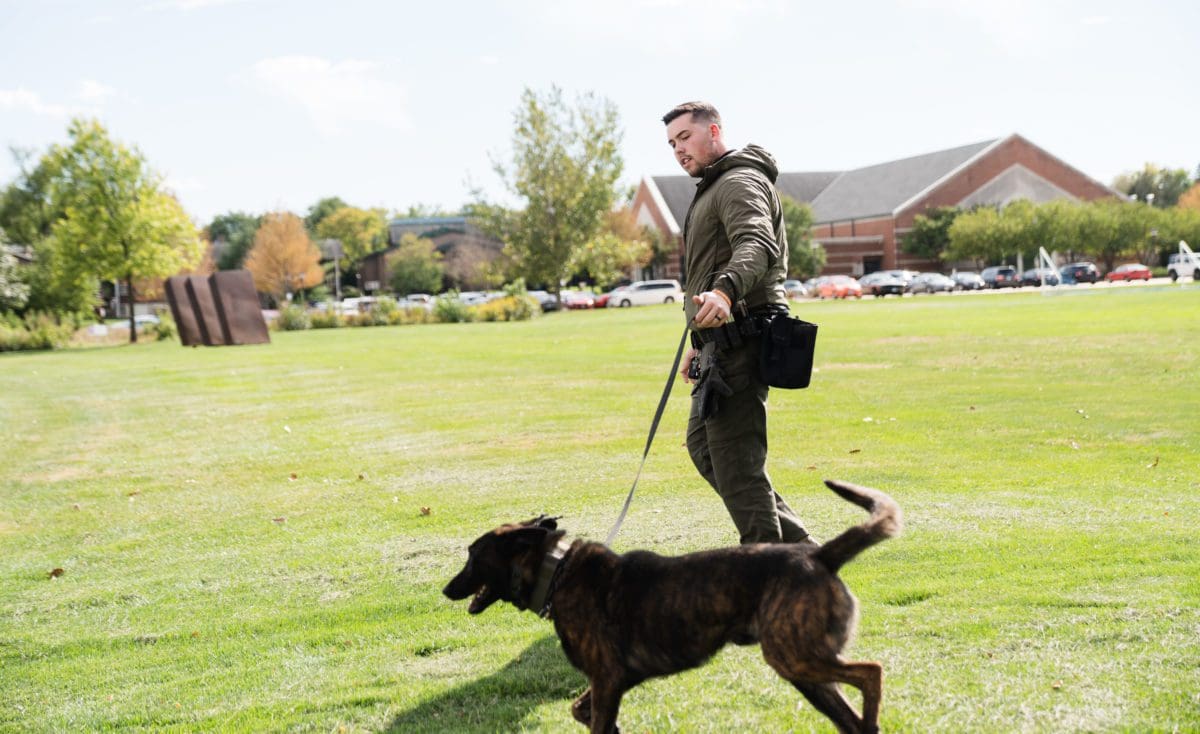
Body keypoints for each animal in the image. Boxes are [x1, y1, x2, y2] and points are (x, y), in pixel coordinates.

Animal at [441, 479, 902, 729]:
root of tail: (819, 556)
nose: (446, 590)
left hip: (793, 656)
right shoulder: (612, 682)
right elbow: (581, 711)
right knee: (851, 718)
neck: (556, 572)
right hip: (803, 670)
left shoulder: (607, 678)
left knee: (872, 673)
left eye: (472, 557)